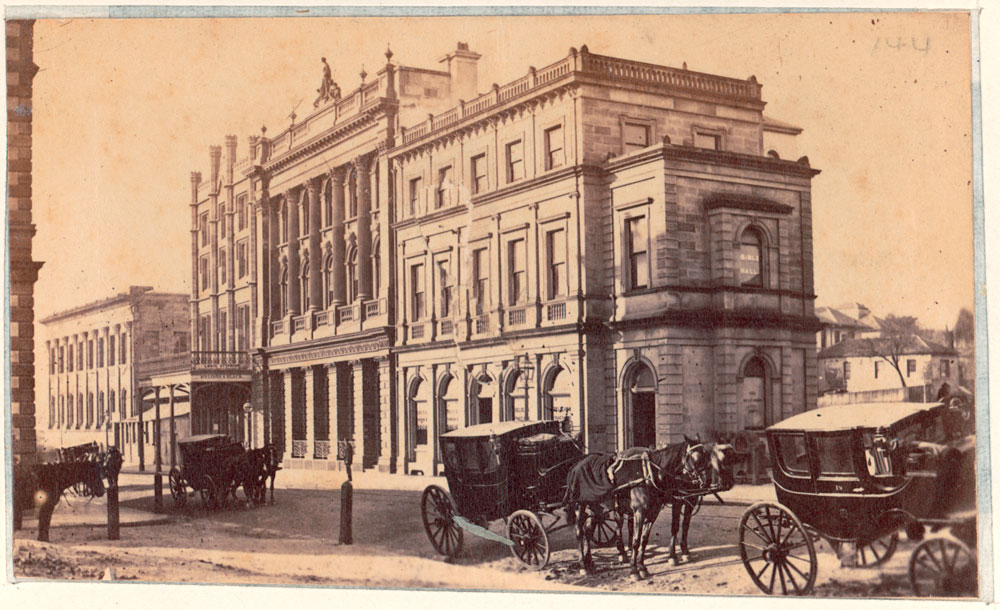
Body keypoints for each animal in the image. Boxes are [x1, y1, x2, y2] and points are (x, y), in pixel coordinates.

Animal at [568, 434, 716, 576]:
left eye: (707, 455)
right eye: (696, 458)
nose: (708, 481)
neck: (649, 475)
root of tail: (577, 464)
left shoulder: (656, 511)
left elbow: (645, 539)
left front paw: (642, 567)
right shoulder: (645, 511)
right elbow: (637, 540)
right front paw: (635, 570)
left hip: (596, 507)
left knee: (588, 531)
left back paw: (590, 563)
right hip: (580, 505)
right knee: (580, 532)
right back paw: (583, 565)